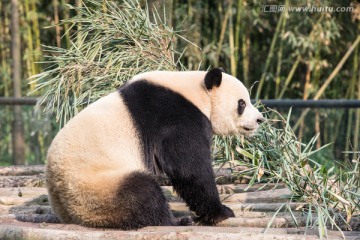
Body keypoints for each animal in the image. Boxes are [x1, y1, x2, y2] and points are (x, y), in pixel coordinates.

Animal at [45, 67, 264, 229]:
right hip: (97, 186)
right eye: (242, 103)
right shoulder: (176, 118)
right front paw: (220, 212)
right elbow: (189, 168)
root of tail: (70, 213)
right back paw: (176, 221)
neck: (197, 92)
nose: (260, 119)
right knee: (141, 194)